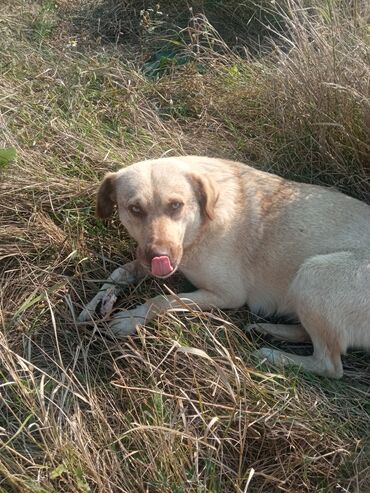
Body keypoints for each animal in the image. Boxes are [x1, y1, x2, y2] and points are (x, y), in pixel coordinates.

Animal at [79, 156, 370, 378]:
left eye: (176, 205)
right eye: (135, 209)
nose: (158, 256)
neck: (200, 225)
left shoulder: (228, 295)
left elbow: (162, 300)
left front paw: (132, 319)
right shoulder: (152, 261)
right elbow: (119, 272)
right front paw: (93, 305)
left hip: (314, 273)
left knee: (330, 366)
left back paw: (274, 356)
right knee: (308, 336)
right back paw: (270, 330)